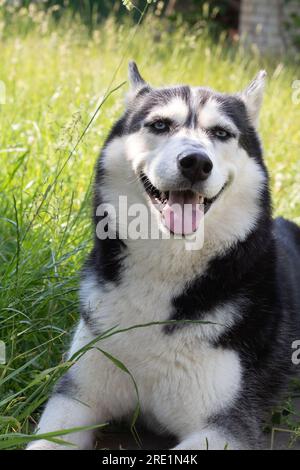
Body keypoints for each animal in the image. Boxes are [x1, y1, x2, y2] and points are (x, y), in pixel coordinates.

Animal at [27, 63, 298, 452]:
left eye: (221, 133)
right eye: (159, 125)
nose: (196, 162)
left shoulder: (226, 427)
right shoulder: (77, 395)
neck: (167, 269)